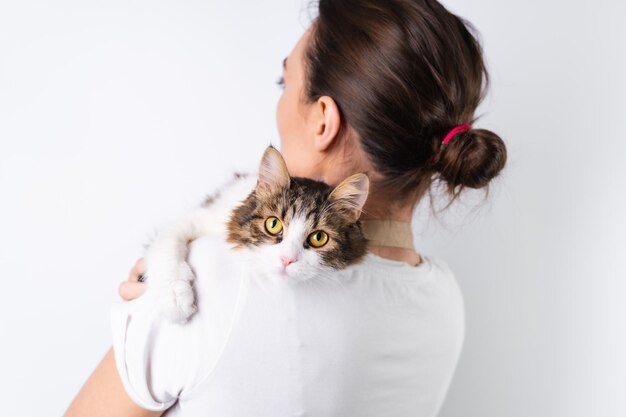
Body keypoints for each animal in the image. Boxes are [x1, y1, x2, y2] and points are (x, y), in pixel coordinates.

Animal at [141, 145, 368, 324]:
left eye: (318, 238)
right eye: (273, 224)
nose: (286, 260)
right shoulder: (198, 219)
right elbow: (167, 242)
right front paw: (173, 298)